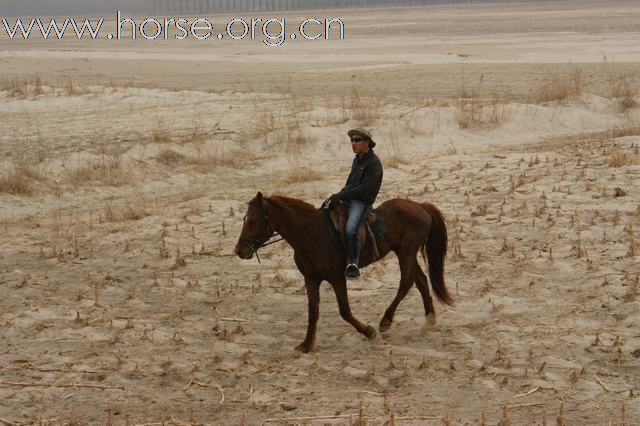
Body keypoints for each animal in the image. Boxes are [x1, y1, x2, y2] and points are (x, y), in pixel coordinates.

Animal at [234, 193, 450, 352]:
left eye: (253, 221)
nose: (239, 251)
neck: (310, 234)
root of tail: (420, 206)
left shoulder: (337, 278)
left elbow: (344, 311)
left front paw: (368, 331)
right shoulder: (311, 279)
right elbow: (313, 312)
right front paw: (306, 344)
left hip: (406, 253)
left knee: (406, 282)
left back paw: (386, 321)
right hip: (406, 253)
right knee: (421, 280)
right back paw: (429, 319)